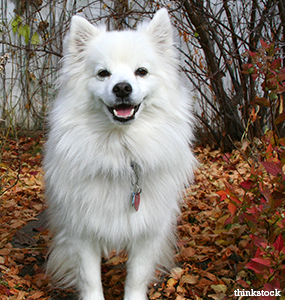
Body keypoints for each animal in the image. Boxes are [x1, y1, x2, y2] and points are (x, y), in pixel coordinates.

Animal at [43, 8, 195, 300]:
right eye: (103, 73)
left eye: (141, 72)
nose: (122, 87)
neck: (123, 152)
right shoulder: (81, 231)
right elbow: (90, 279)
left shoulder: (148, 230)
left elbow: (136, 278)